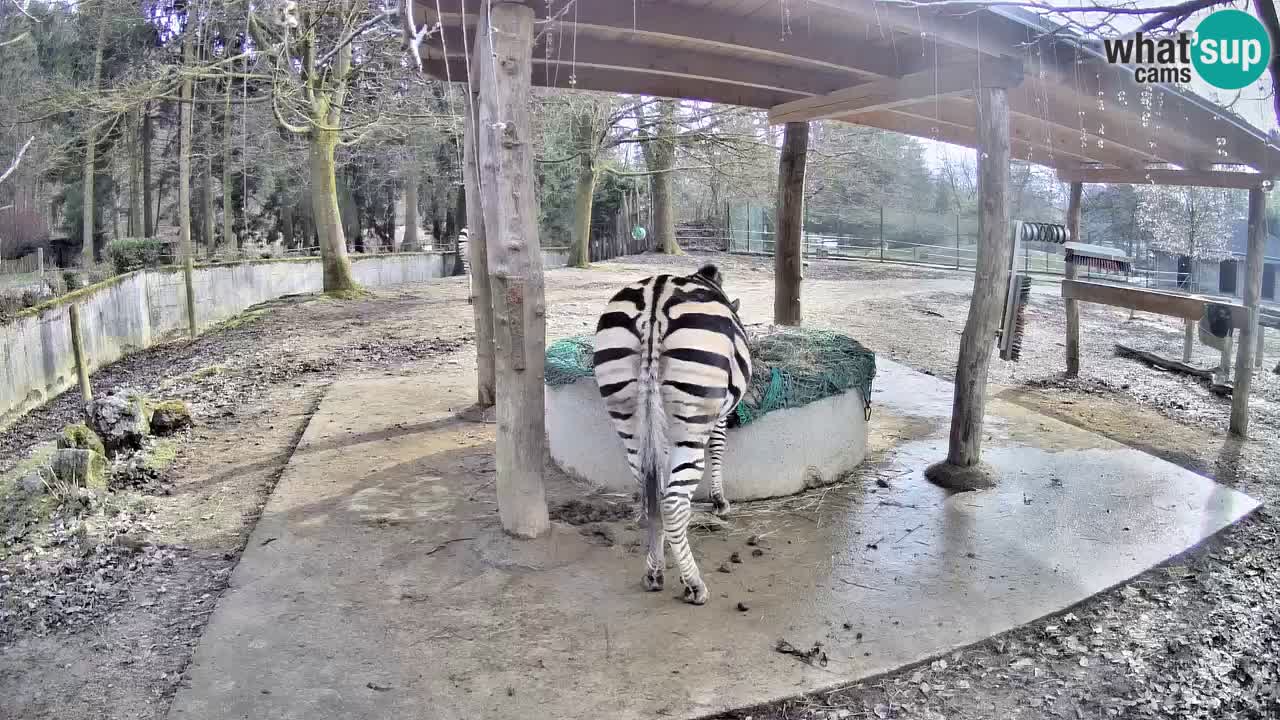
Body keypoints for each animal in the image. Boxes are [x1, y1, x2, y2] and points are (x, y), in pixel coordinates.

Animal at [591, 260, 747, 602]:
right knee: (673, 504)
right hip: (691, 417)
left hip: (627, 413)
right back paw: (694, 584)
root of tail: (654, 304)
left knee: (650, 494)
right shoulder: (719, 414)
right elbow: (718, 447)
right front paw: (719, 501)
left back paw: (654, 572)